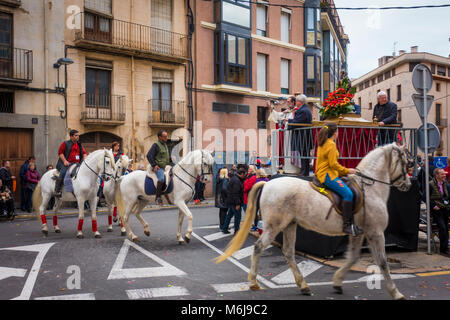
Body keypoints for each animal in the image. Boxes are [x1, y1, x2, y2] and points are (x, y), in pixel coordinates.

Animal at [217, 142, 412, 300]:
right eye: (407, 162)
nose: (408, 185)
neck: (370, 188)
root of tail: (267, 183)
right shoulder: (376, 233)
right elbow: (383, 263)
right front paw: (396, 292)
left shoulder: (358, 233)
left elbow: (353, 257)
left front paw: (337, 282)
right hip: (274, 226)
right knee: (259, 247)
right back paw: (253, 282)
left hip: (289, 225)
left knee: (288, 252)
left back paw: (303, 286)